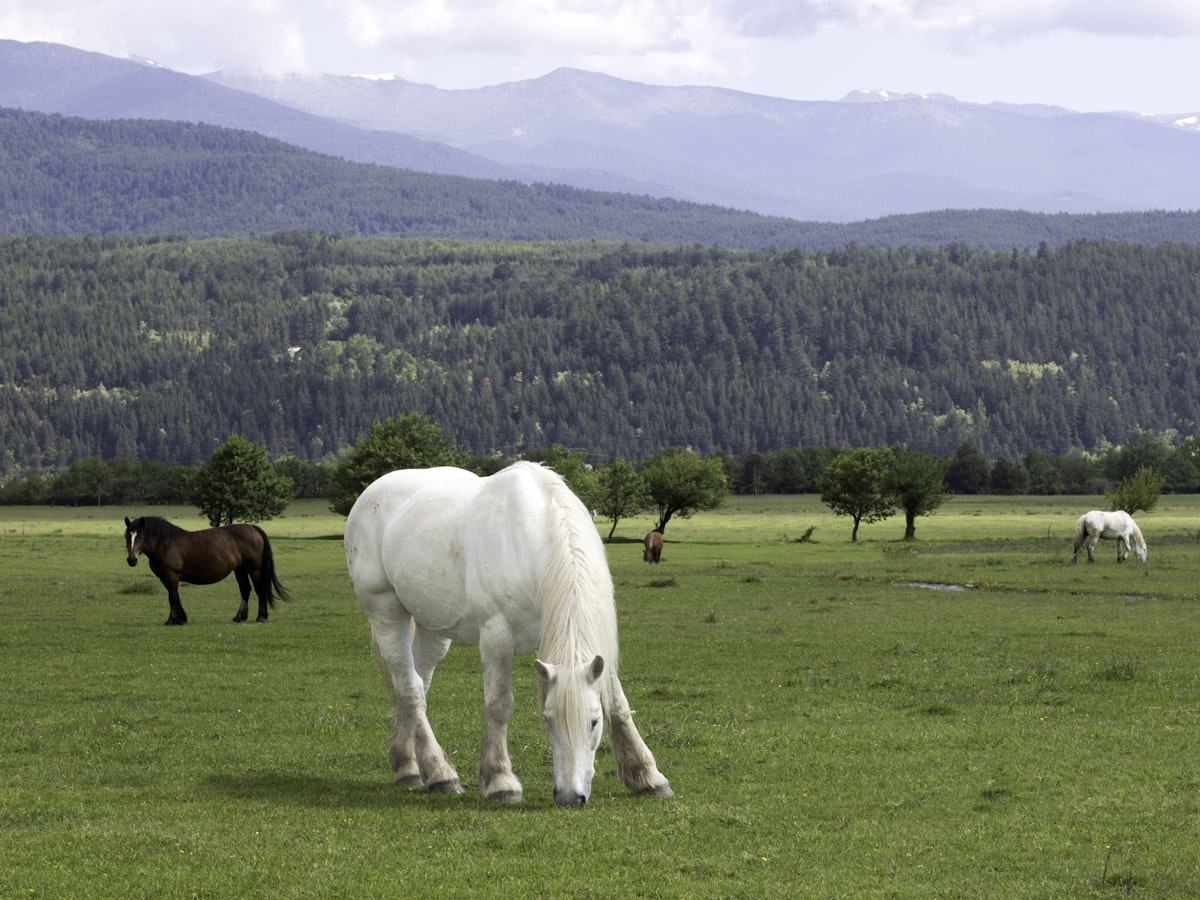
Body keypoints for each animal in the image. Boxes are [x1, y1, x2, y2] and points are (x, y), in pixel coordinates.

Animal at [124, 516, 290, 625]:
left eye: (140, 535)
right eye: (127, 536)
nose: (131, 560)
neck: (165, 543)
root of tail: (252, 528)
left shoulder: (171, 576)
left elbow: (173, 597)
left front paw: (173, 620)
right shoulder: (165, 578)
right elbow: (174, 596)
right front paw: (180, 618)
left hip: (254, 568)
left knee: (259, 589)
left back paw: (261, 617)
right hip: (240, 569)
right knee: (245, 589)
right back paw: (239, 617)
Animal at [344, 462, 673, 807]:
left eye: (594, 721)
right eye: (548, 719)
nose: (570, 797)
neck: (534, 540)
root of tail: (371, 492)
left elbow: (619, 705)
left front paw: (647, 775)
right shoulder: (496, 636)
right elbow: (499, 705)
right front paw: (501, 781)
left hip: (434, 628)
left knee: (416, 682)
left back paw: (408, 765)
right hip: (386, 613)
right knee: (411, 688)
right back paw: (440, 773)